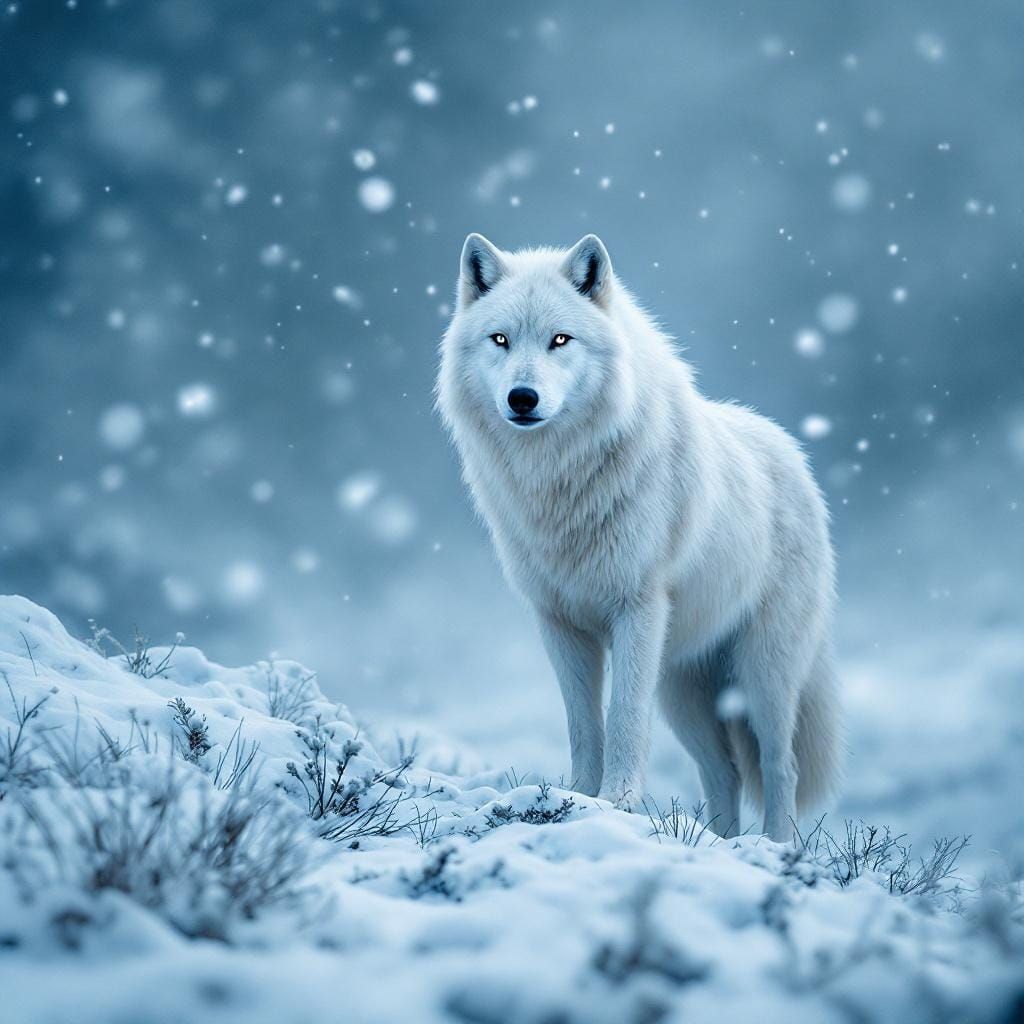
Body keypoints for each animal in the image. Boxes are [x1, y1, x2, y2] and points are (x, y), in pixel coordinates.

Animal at [437, 233, 842, 841]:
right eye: (500, 339)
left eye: (560, 339)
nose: (522, 398)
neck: (560, 479)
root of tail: (795, 457)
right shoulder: (558, 623)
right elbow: (583, 724)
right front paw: (576, 796)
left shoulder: (637, 607)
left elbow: (623, 718)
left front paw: (619, 803)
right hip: (683, 689)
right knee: (723, 771)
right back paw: (719, 842)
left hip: (762, 673)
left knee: (780, 765)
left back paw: (777, 845)